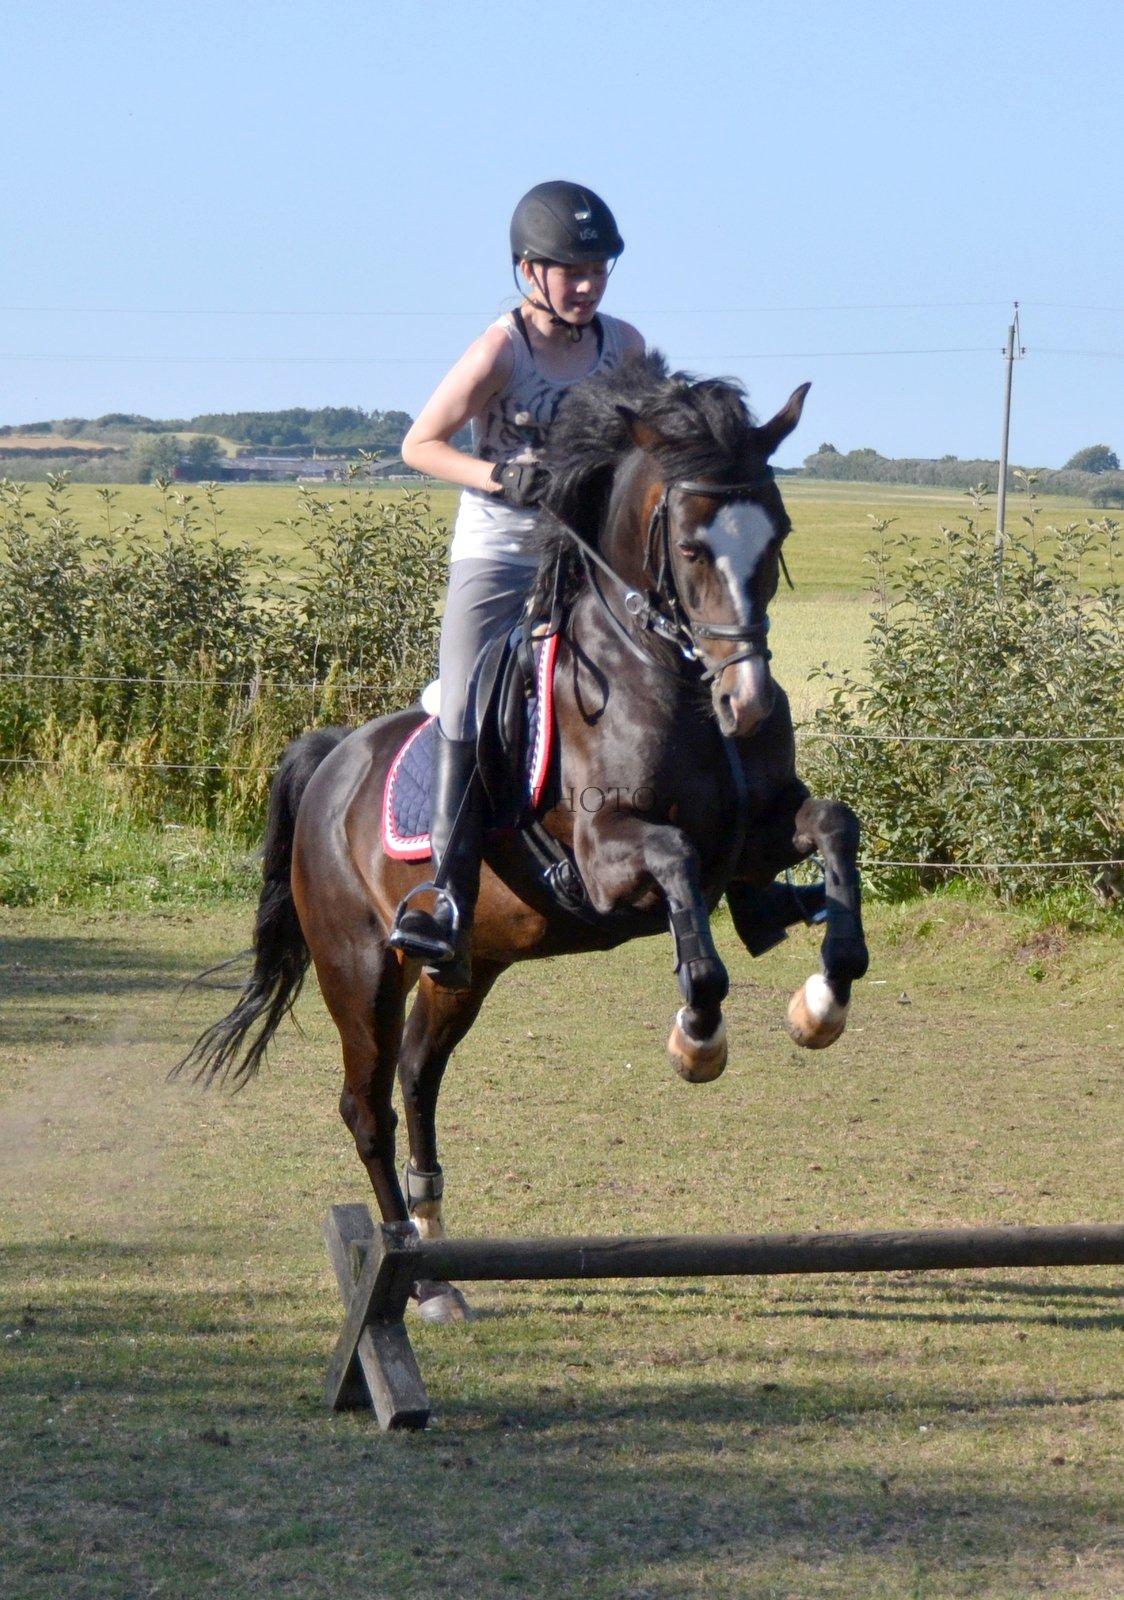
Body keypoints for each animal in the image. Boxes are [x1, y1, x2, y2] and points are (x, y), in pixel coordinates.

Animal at [182, 356, 871, 1318]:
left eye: (775, 539)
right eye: (692, 548)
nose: (751, 704)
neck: (665, 678)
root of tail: (330, 760)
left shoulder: (759, 839)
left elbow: (834, 828)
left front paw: (822, 1000)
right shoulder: (609, 862)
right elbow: (678, 869)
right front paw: (698, 1037)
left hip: (467, 970)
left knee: (417, 1074)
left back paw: (434, 1241)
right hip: (358, 968)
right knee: (367, 1104)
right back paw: (413, 1270)